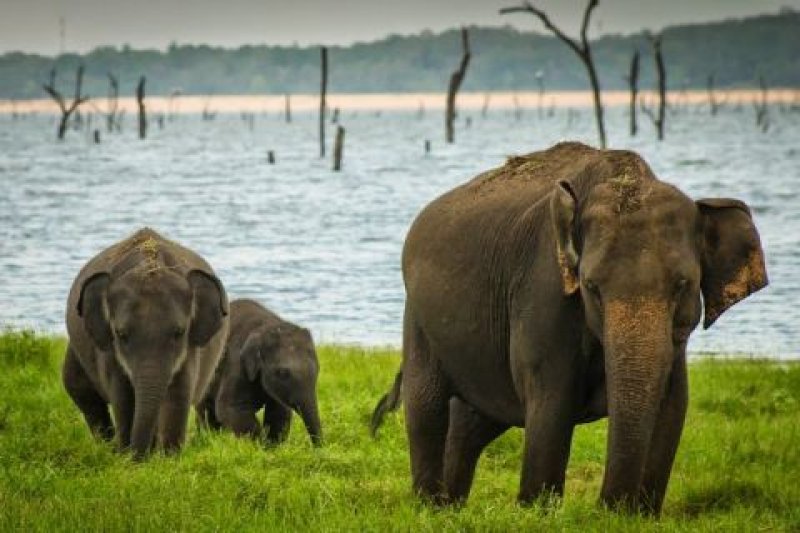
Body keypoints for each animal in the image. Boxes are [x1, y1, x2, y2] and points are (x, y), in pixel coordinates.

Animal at [63, 228, 229, 459]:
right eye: (121, 334)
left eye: (179, 333)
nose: (138, 456)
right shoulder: (109, 351)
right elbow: (123, 396)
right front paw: (128, 457)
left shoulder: (191, 349)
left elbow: (179, 394)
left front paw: (170, 458)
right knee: (82, 393)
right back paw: (109, 448)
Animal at [197, 298, 322, 446]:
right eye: (282, 373)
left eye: (318, 369)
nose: (319, 448)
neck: (267, 326)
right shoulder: (236, 363)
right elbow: (230, 408)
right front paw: (259, 445)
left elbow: (279, 411)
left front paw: (271, 446)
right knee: (206, 410)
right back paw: (210, 438)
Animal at [383, 141, 767, 513]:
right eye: (592, 286)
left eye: (682, 285)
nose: (606, 507)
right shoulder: (543, 291)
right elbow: (551, 401)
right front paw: (536, 513)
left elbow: (673, 405)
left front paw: (640, 516)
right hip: (418, 318)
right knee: (426, 405)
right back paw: (430, 507)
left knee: (471, 421)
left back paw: (451, 508)